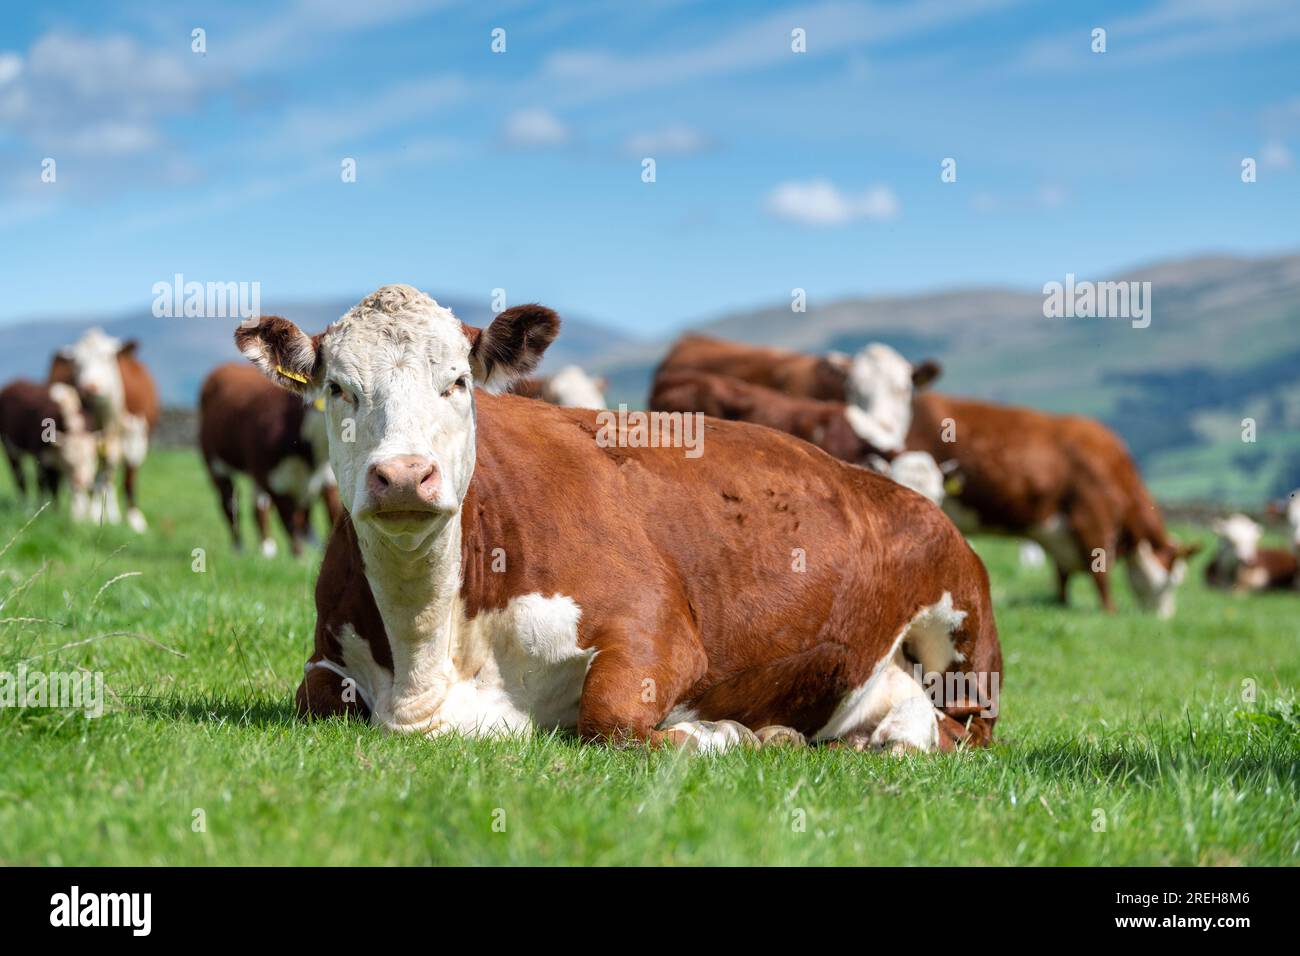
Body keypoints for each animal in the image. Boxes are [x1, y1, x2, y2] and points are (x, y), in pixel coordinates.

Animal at [0, 380, 97, 515]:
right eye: (69, 462)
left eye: (91, 458)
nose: (81, 483)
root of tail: (14, 383)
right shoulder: (42, 457)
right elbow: (42, 484)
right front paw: (42, 508)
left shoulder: (56, 463)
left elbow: (54, 486)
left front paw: (56, 511)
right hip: (11, 450)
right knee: (20, 477)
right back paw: (24, 505)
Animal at [49, 329, 159, 532]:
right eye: (76, 362)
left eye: (107, 357)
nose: (89, 387)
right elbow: (92, 481)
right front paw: (89, 517)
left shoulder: (135, 439)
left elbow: (126, 478)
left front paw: (135, 520)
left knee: (110, 478)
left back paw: (112, 516)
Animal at [199, 362, 342, 557]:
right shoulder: (273, 479)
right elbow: (290, 522)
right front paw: (299, 557)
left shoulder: (328, 477)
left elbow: (332, 514)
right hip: (216, 464)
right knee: (231, 505)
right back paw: (239, 549)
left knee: (262, 508)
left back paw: (269, 548)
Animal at [235, 285, 1002, 754]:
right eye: (339, 388)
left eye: (456, 381)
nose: (401, 475)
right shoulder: (327, 655)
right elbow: (314, 695)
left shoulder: (655, 628)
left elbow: (609, 714)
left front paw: (731, 735)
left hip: (963, 634)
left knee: (957, 729)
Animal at [907, 394, 1198, 617]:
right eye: (1171, 581)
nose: (1164, 616)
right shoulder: (1093, 520)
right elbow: (1101, 574)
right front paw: (1110, 611)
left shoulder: (1064, 536)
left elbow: (1062, 576)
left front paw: (1062, 605)